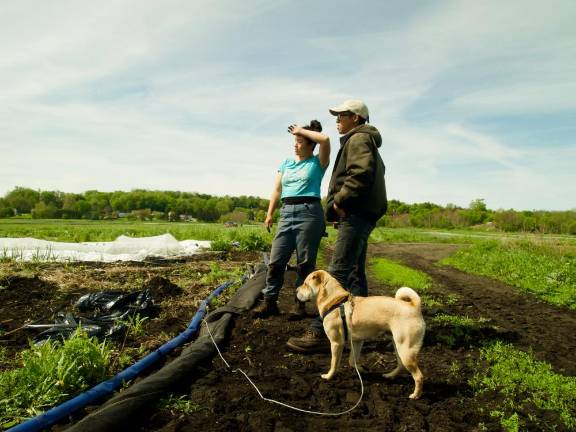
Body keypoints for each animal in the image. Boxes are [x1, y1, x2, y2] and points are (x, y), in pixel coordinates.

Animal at [296, 270, 424, 398]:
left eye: (305, 284)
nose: (296, 290)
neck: (335, 300)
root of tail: (414, 307)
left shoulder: (336, 343)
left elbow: (334, 363)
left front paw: (329, 376)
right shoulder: (357, 341)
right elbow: (352, 360)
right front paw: (360, 369)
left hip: (405, 350)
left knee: (419, 376)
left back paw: (415, 395)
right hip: (398, 346)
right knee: (401, 365)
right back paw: (389, 376)